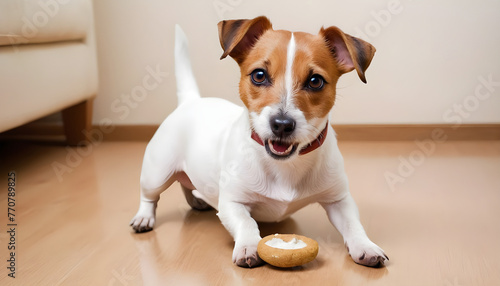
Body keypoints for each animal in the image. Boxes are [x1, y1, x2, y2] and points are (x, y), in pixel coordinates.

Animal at [130, 16, 386, 268]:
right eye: (259, 75)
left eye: (315, 81)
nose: (281, 124)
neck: (285, 165)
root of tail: (191, 100)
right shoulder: (232, 203)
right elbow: (246, 222)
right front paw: (249, 246)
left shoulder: (339, 200)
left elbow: (353, 224)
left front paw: (366, 246)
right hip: (156, 175)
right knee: (149, 196)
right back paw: (144, 217)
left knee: (187, 182)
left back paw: (197, 200)